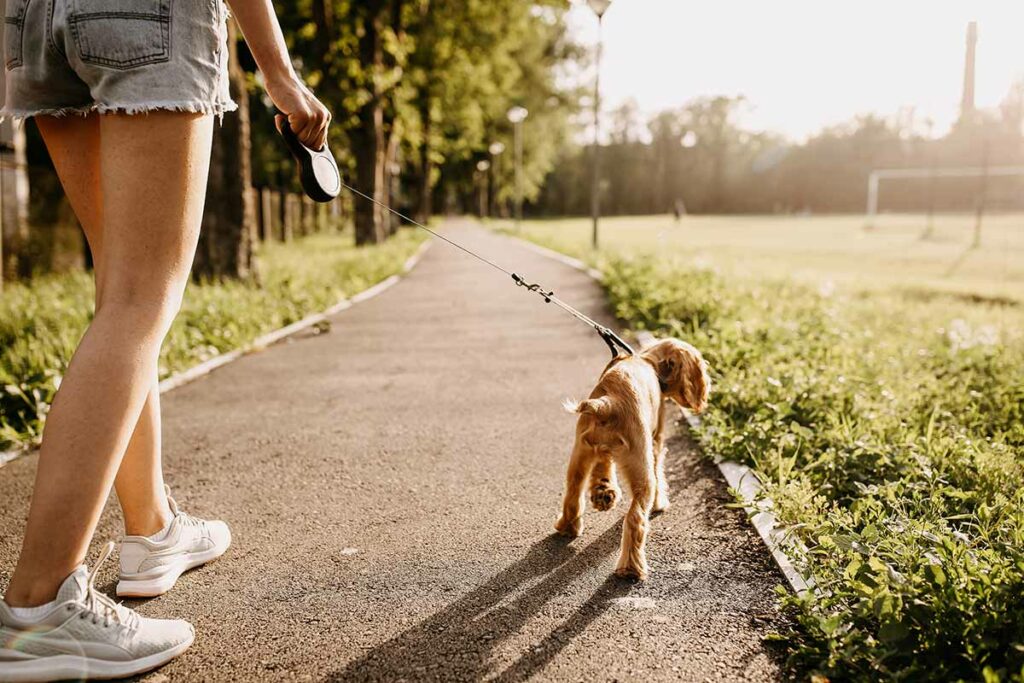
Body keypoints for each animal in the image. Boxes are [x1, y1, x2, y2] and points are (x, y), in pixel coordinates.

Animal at [557, 339, 708, 581]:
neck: (649, 361)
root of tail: (608, 402)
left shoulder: (601, 451)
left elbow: (603, 469)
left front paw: (604, 493)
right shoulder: (655, 441)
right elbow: (659, 470)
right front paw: (659, 503)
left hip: (580, 455)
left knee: (573, 492)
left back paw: (568, 527)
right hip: (641, 472)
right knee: (635, 519)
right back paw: (631, 569)